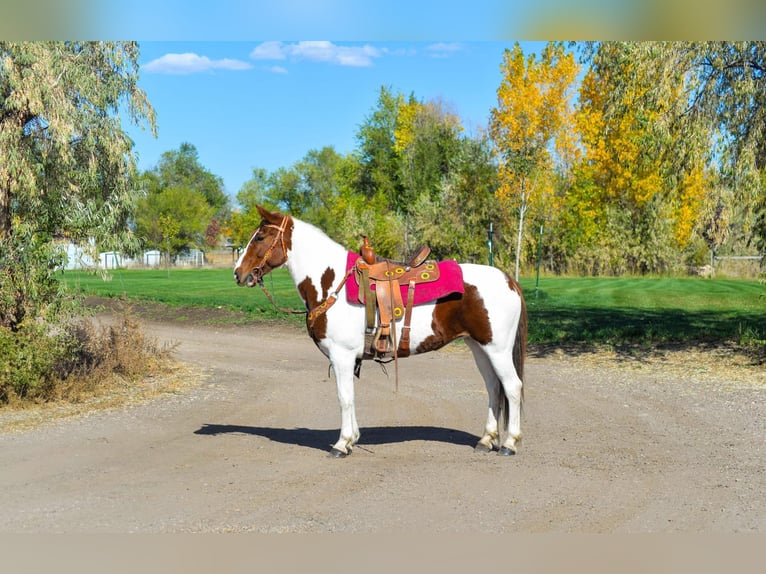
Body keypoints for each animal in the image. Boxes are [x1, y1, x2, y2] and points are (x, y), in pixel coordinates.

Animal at [234, 206, 528, 460]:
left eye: (260, 236)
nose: (238, 273)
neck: (332, 283)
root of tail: (508, 280)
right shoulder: (346, 359)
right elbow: (350, 396)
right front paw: (352, 439)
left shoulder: (341, 356)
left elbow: (344, 397)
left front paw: (342, 444)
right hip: (479, 347)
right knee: (493, 387)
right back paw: (486, 439)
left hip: (498, 350)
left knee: (512, 387)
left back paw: (510, 443)